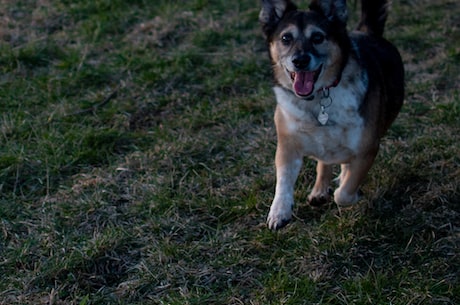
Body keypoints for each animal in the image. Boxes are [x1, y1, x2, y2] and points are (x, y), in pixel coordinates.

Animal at [260, 0, 404, 228]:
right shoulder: (287, 144)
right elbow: (283, 181)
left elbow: (343, 193)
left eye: (318, 37)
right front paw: (279, 212)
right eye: (285, 38)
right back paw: (319, 191)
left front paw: (350, 190)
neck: (318, 98)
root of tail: (366, 31)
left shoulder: (367, 149)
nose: (300, 60)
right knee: (324, 161)